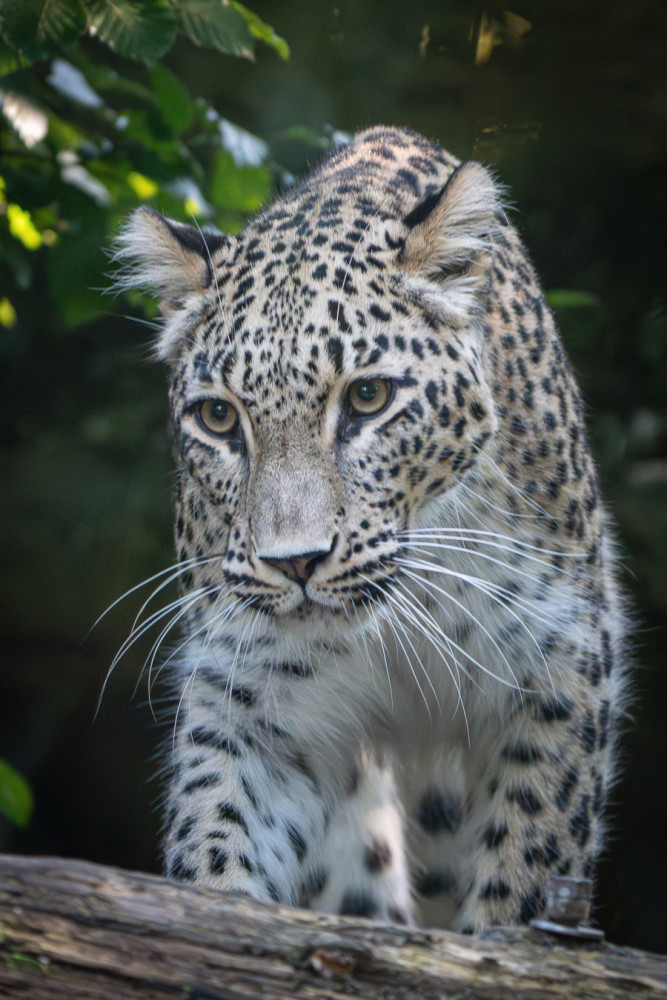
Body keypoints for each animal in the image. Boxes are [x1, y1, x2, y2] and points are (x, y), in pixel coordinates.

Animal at [113, 125, 628, 933]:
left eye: (367, 397)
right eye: (219, 417)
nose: (294, 563)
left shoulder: (560, 668)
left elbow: (526, 865)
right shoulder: (252, 693)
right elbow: (218, 836)